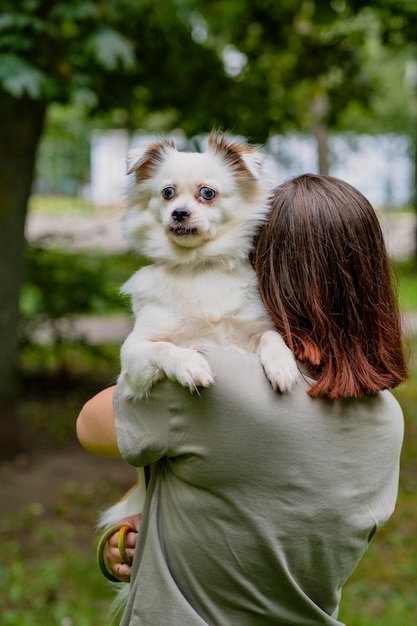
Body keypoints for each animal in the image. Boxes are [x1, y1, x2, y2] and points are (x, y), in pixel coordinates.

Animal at [99, 133, 298, 556]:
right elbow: (164, 348)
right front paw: (191, 365)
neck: (197, 269)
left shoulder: (252, 330)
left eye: (207, 193)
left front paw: (283, 365)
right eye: (167, 193)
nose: (179, 213)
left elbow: (271, 336)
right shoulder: (133, 355)